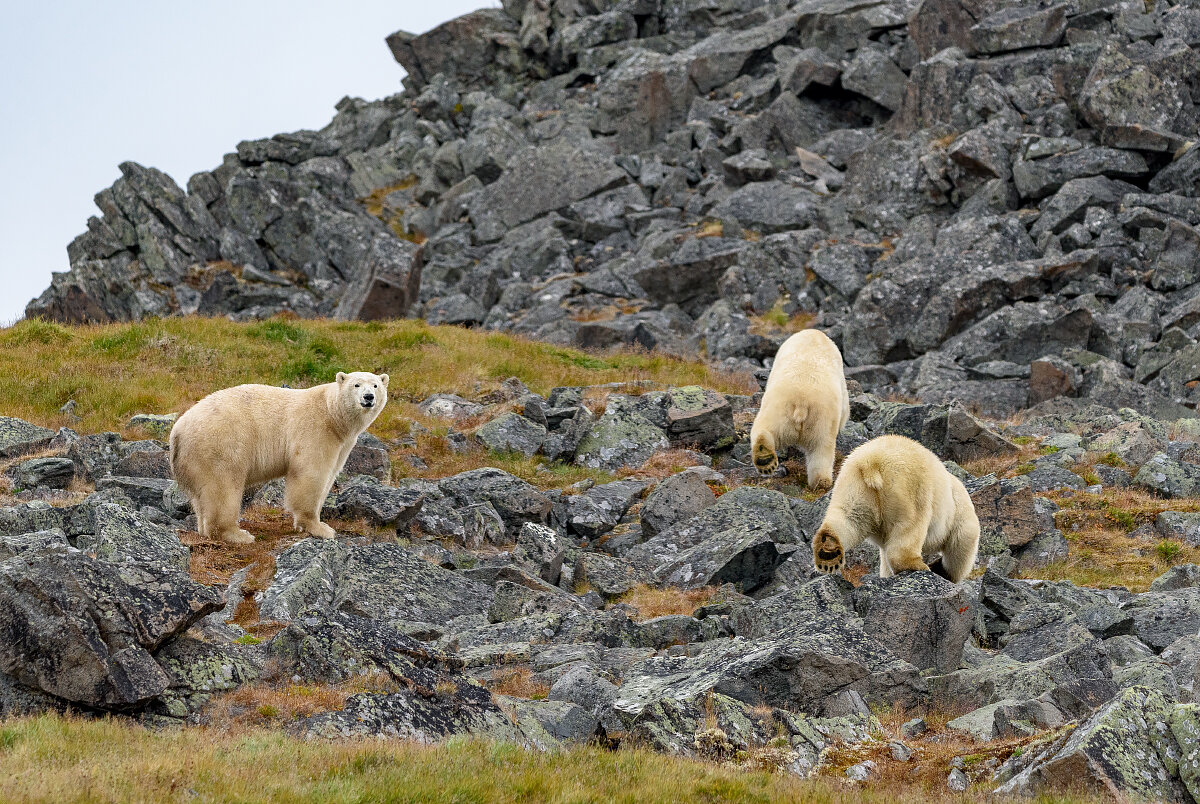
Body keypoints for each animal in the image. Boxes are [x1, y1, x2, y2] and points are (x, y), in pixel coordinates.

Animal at [166, 374, 384, 544]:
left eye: (375, 385)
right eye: (356, 384)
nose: (368, 397)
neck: (332, 413)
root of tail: (177, 431)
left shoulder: (343, 444)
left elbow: (329, 475)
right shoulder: (315, 429)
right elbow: (311, 473)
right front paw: (320, 528)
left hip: (195, 460)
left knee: (201, 496)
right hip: (220, 446)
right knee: (223, 488)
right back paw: (238, 534)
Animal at [811, 436, 979, 583]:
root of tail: (872, 461)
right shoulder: (960, 511)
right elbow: (963, 540)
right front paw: (944, 571)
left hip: (854, 485)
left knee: (849, 517)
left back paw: (828, 554)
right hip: (910, 488)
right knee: (910, 526)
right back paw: (916, 565)